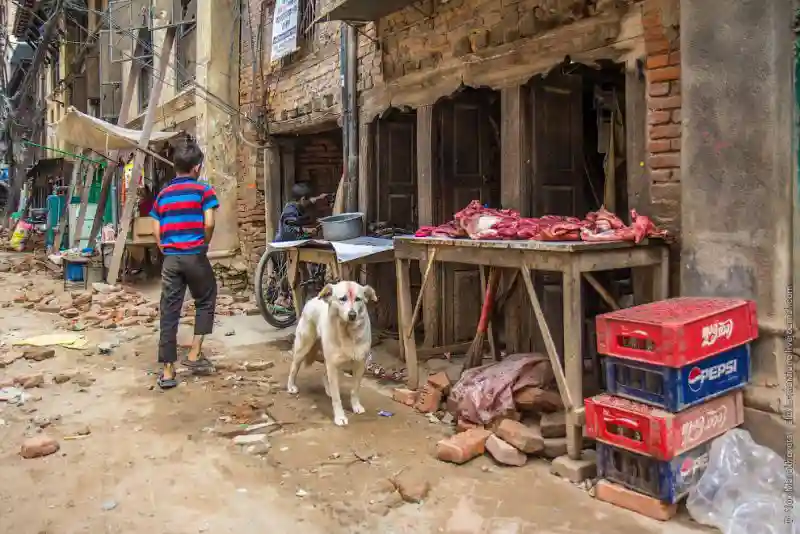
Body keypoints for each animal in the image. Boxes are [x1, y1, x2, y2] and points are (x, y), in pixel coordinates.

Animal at [286, 280, 376, 428]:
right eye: (342, 299)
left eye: (358, 299)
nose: (352, 315)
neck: (347, 332)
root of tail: (311, 300)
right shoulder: (333, 365)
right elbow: (337, 398)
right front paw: (340, 417)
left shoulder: (359, 364)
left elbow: (355, 389)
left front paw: (356, 406)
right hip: (303, 348)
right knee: (294, 367)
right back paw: (291, 386)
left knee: (325, 374)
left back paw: (328, 389)